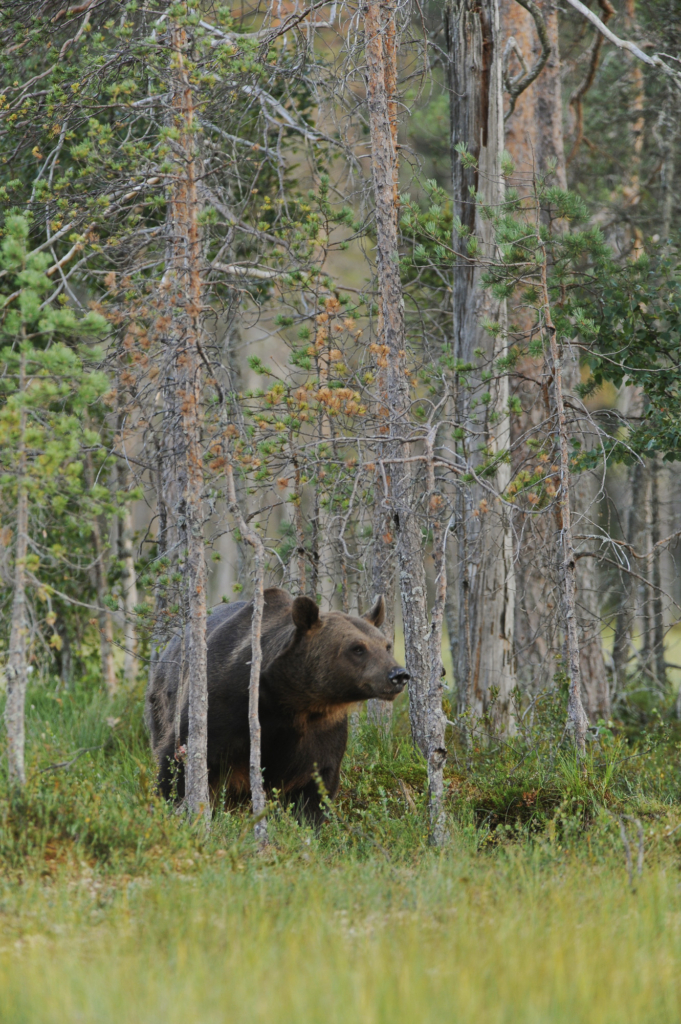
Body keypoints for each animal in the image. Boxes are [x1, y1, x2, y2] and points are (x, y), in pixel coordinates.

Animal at [145, 589, 405, 819]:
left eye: (386, 645)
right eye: (358, 648)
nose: (398, 675)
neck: (289, 700)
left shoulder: (322, 730)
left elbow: (317, 784)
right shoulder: (225, 707)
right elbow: (178, 761)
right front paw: (172, 804)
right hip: (161, 702)